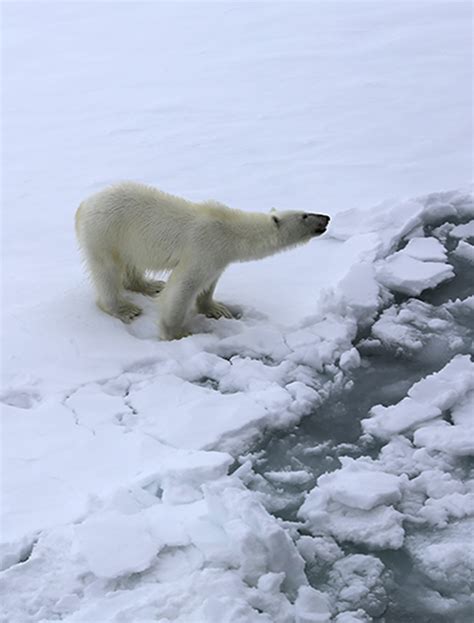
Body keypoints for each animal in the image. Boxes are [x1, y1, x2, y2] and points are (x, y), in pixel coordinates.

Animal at [77, 184, 330, 342]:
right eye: (304, 215)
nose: (326, 218)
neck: (230, 230)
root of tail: (82, 206)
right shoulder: (204, 248)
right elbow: (183, 287)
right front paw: (176, 333)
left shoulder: (219, 257)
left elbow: (210, 283)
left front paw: (217, 309)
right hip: (106, 233)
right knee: (107, 271)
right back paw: (124, 308)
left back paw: (150, 285)